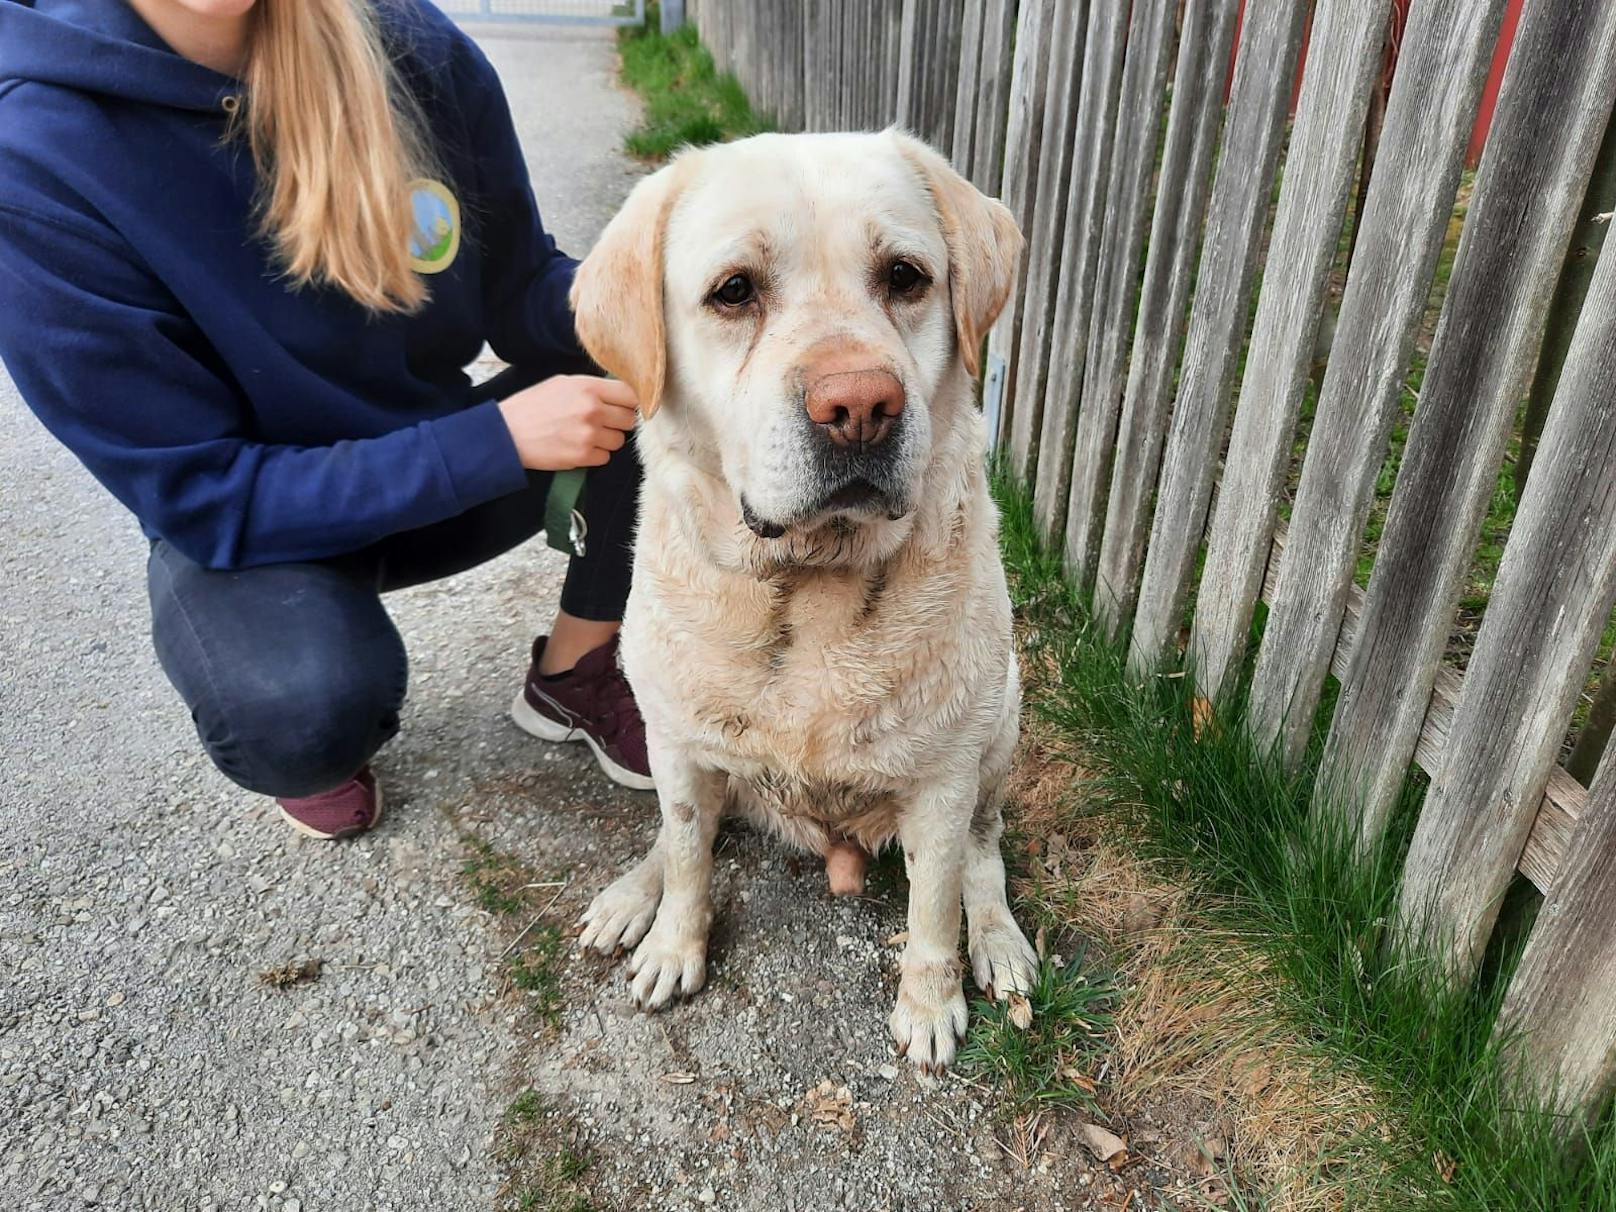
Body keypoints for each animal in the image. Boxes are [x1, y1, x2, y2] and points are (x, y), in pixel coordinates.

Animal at [572, 128, 1034, 1066]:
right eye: (734, 291)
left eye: (905, 276)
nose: (860, 404)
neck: (806, 587)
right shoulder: (677, 745)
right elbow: (686, 853)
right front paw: (674, 943)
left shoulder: (944, 779)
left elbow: (936, 903)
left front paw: (930, 1004)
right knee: (682, 834)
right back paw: (630, 898)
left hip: (1003, 718)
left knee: (984, 851)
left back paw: (998, 938)